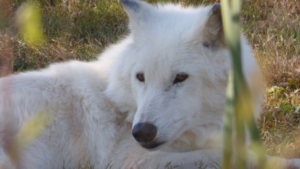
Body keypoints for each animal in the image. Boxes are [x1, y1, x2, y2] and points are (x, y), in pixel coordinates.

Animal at [0, 0, 300, 168]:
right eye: (140, 77)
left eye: (180, 78)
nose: (142, 132)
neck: (121, 110)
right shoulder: (131, 161)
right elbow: (235, 157)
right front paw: (289, 162)